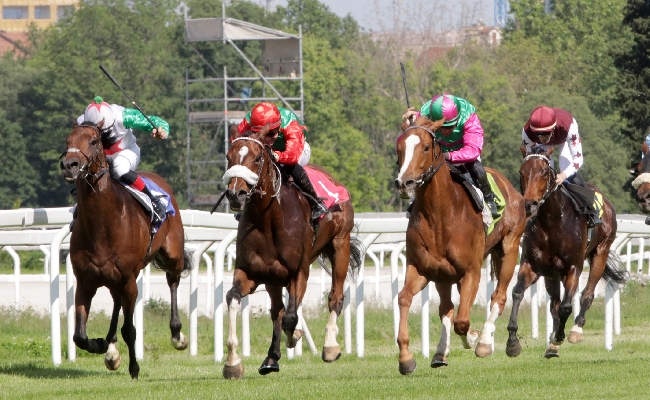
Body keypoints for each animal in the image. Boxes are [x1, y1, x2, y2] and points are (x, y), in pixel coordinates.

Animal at [58, 122, 191, 378]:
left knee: (173, 281)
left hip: (172, 255)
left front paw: (134, 368)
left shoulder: (129, 280)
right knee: (116, 300)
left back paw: (177, 334)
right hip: (114, 279)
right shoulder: (85, 281)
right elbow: (79, 336)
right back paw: (110, 346)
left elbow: (130, 329)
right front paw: (102, 345)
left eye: (93, 141)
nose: (70, 165)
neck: (102, 227)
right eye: (67, 140)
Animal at [221, 124, 364, 378]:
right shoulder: (250, 272)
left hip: (340, 244)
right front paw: (233, 362)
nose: (235, 194)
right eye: (229, 157)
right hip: (273, 278)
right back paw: (271, 359)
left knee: (335, 298)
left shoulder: (299, 272)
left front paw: (296, 336)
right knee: (276, 310)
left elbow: (290, 317)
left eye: (257, 158)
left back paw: (330, 347)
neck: (268, 220)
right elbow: (233, 299)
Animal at [392, 116, 524, 376]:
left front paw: (475, 338)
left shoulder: (471, 271)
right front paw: (406, 358)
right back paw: (440, 353)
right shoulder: (422, 269)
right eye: (398, 148)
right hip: (443, 275)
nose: (404, 183)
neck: (440, 214)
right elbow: (404, 298)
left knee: (498, 296)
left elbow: (462, 321)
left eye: (425, 147)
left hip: (510, 248)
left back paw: (485, 342)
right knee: (448, 308)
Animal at [506, 145, 628, 358]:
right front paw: (513, 341)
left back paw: (576, 330)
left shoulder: (573, 268)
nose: (530, 204)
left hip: (601, 251)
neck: (551, 221)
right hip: (552, 274)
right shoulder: (533, 266)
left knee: (586, 294)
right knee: (554, 303)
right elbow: (518, 293)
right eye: (522, 172)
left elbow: (566, 307)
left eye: (543, 172)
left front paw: (559, 337)